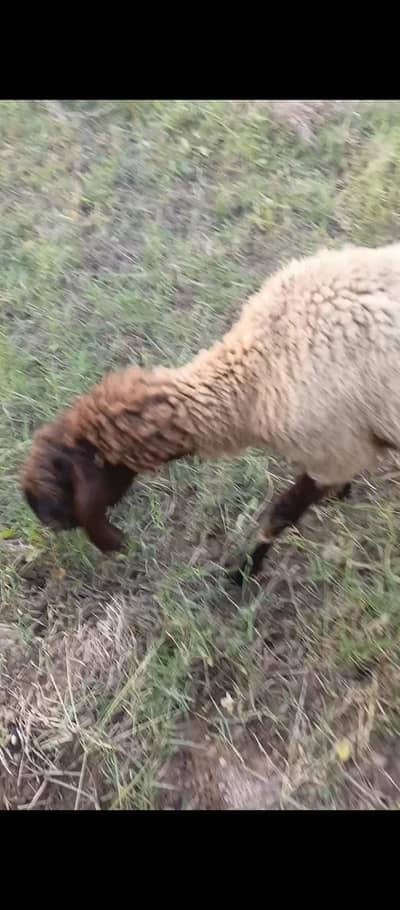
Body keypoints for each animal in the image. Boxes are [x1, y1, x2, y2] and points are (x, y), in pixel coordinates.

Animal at [21, 241, 400, 580]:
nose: (47, 523)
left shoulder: (332, 452)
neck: (249, 381)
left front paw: (243, 573)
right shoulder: (346, 448)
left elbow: (277, 516)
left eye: (62, 487)